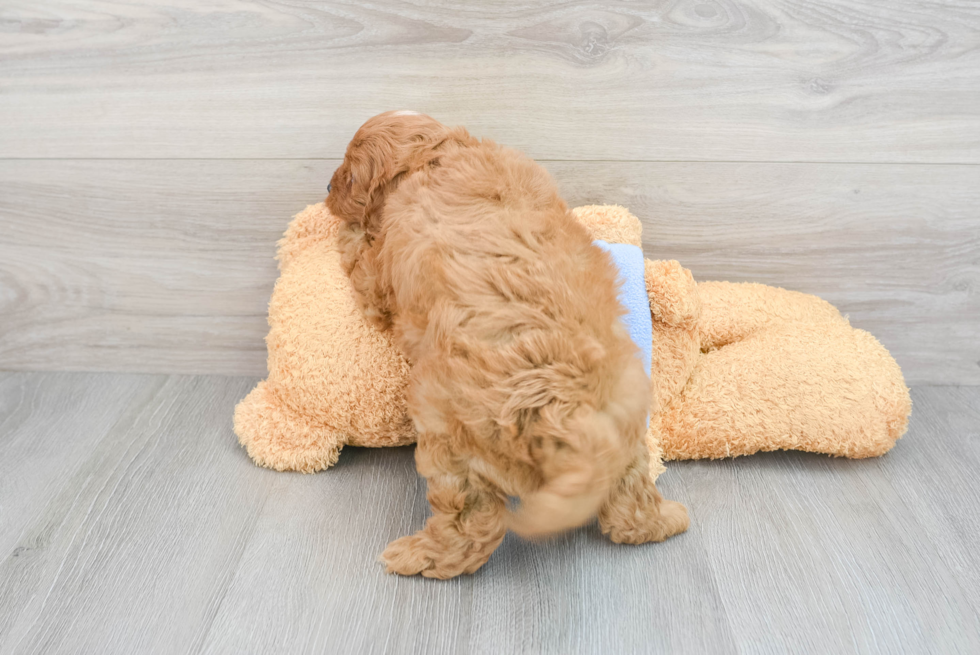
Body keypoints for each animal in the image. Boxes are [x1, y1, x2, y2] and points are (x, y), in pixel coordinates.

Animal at [326, 113, 684, 580]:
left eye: (347, 172)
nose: (327, 188)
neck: (437, 154)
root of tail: (567, 413)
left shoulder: (380, 279)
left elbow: (360, 257)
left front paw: (348, 231)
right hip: (626, 432)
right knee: (630, 502)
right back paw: (665, 521)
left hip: (455, 444)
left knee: (472, 525)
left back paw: (418, 557)